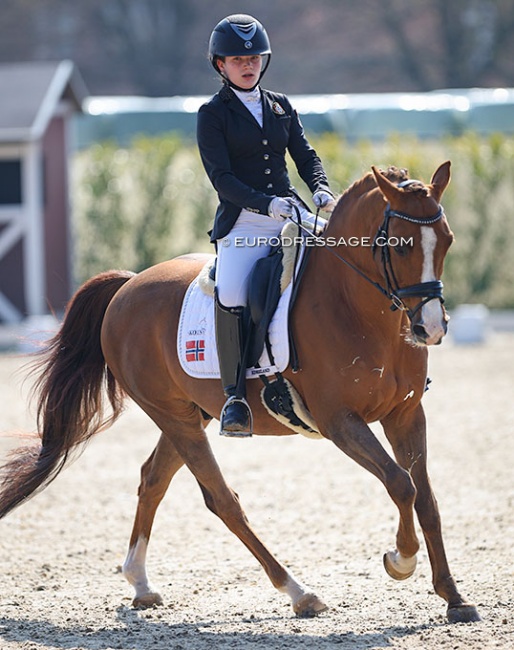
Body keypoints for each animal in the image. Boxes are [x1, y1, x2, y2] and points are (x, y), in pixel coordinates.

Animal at [0, 162, 480, 624]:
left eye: (448, 241)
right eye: (400, 246)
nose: (431, 329)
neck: (356, 307)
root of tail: (128, 286)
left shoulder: (406, 414)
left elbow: (426, 498)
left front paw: (454, 598)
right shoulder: (340, 420)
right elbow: (401, 484)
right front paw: (400, 560)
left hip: (191, 413)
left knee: (153, 479)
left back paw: (140, 583)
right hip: (172, 415)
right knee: (221, 500)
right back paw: (299, 593)